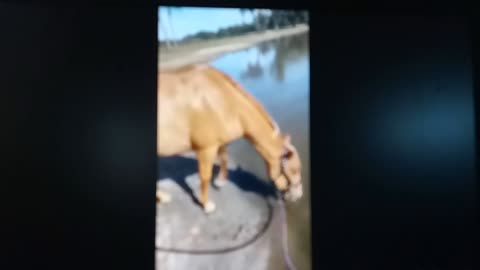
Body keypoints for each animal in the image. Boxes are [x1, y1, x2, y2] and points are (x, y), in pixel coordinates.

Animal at [156, 63, 302, 213]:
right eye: (295, 170)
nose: (299, 195)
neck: (222, 100)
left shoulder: (220, 143)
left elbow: (223, 158)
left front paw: (220, 181)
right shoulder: (205, 149)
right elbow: (205, 177)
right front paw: (206, 205)